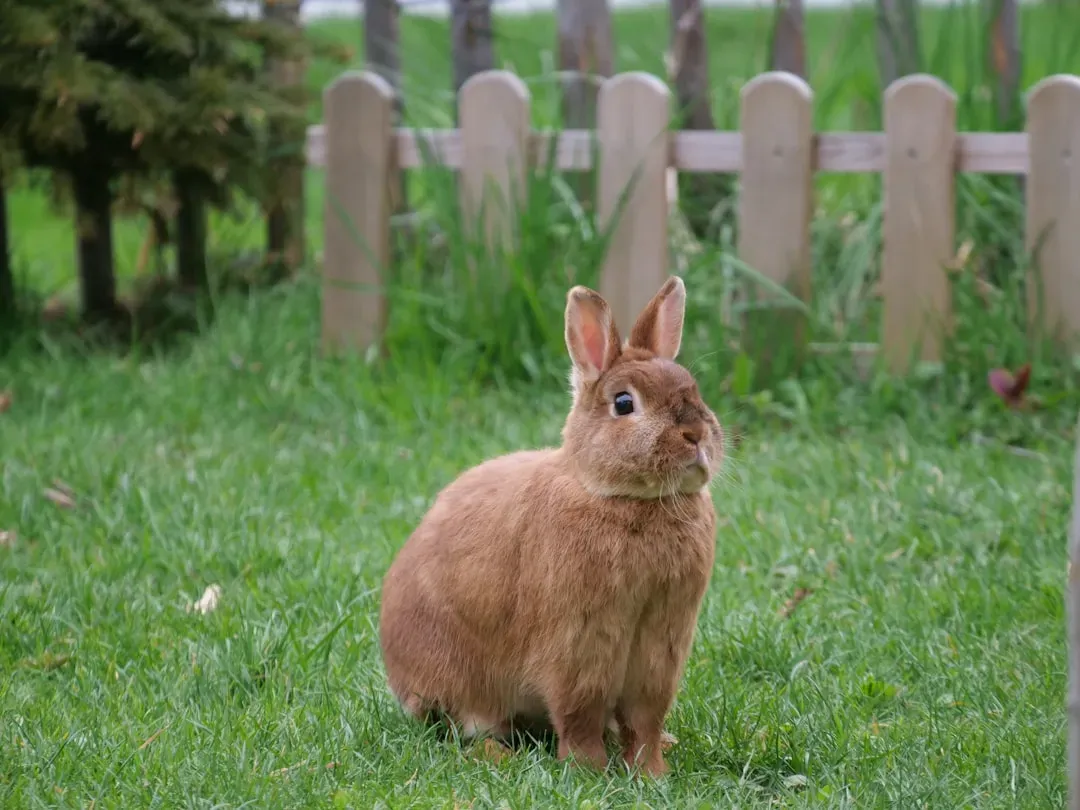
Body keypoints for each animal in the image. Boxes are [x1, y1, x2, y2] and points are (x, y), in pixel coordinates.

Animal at [378, 275, 723, 777]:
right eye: (624, 403)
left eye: (694, 389)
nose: (696, 435)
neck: (624, 498)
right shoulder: (579, 644)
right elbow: (580, 712)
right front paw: (588, 770)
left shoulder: (661, 648)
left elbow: (645, 718)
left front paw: (651, 772)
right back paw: (495, 754)